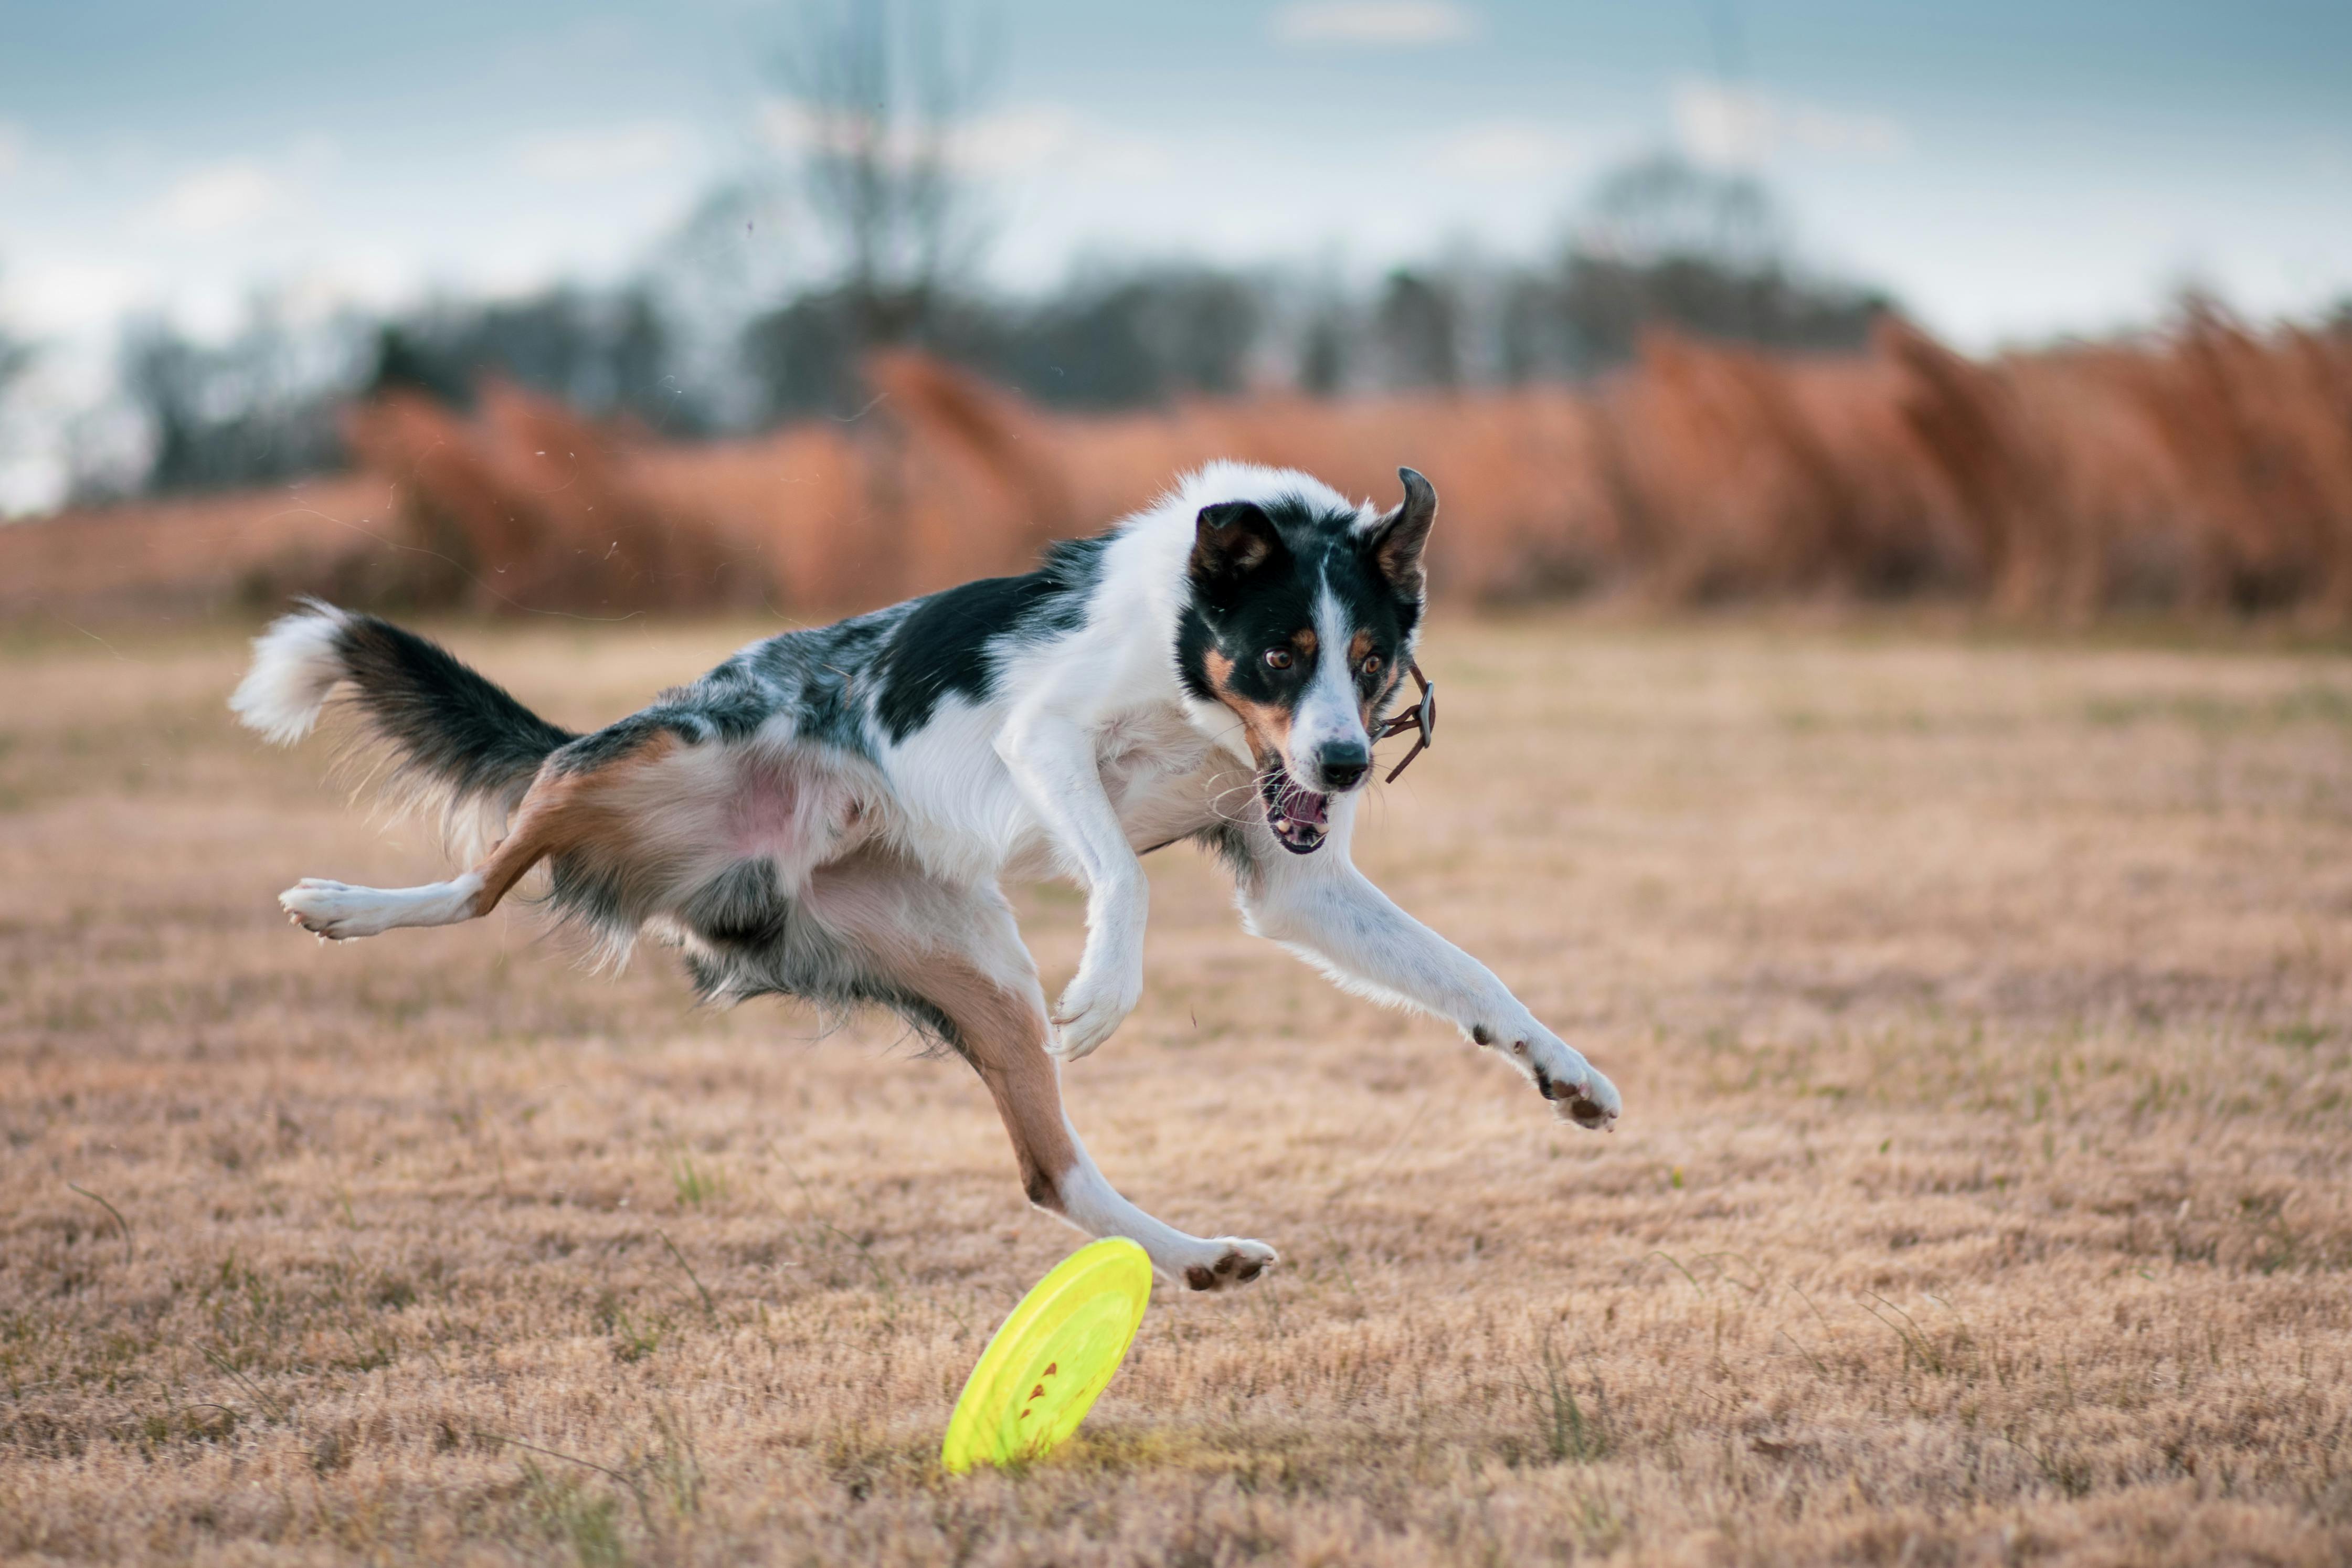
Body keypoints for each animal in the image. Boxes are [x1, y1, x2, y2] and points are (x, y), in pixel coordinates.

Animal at [234, 463, 1618, 1288]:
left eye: (1370, 659)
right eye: (1280, 652)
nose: (1341, 764)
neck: (1184, 658)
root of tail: (768, 861)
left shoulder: (1298, 879)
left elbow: (1468, 974)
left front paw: (1565, 1071)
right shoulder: (1046, 739)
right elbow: (1123, 877)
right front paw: (1108, 986)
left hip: (978, 967)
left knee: (1052, 1171)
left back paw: (1192, 1255)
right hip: (641, 756)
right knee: (484, 873)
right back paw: (344, 906)